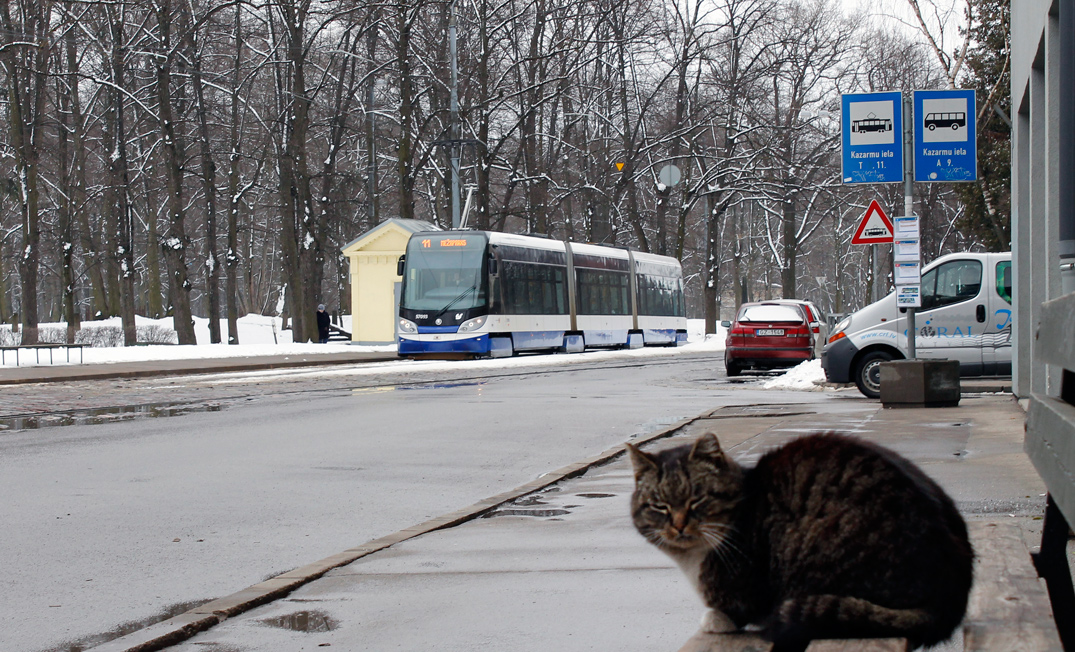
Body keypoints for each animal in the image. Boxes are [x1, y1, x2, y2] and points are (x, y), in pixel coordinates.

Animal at [627, 431, 976, 648]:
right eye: (660, 506)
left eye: (697, 500)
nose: (679, 526)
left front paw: (717, 618)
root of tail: (951, 598)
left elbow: (736, 607)